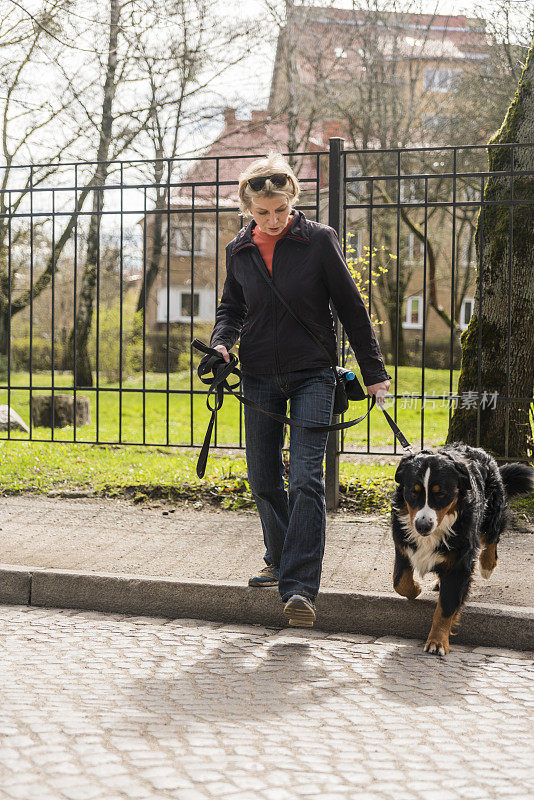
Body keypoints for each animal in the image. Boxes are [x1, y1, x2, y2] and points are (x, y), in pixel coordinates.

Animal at [394, 444, 534, 656]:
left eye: (441, 493)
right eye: (413, 491)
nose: (422, 526)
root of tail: (477, 449)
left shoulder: (460, 562)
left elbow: (446, 607)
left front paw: (437, 641)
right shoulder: (402, 547)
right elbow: (400, 583)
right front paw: (416, 588)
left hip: (491, 512)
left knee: (492, 537)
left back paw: (487, 566)